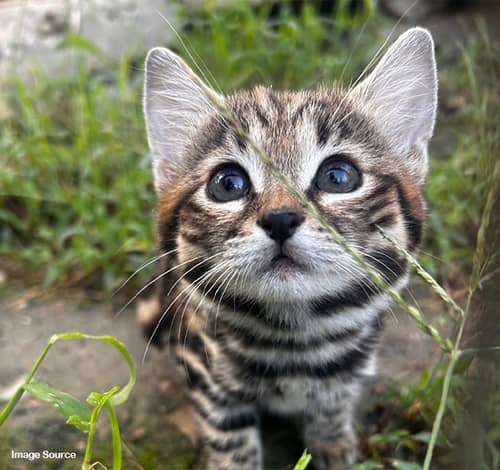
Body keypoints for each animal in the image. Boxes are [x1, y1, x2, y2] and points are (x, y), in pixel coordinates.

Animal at [140, 27, 438, 468]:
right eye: (228, 184)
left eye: (338, 176)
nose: (280, 219)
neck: (296, 338)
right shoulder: (205, 374)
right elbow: (229, 438)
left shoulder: (348, 367)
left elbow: (332, 404)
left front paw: (332, 443)